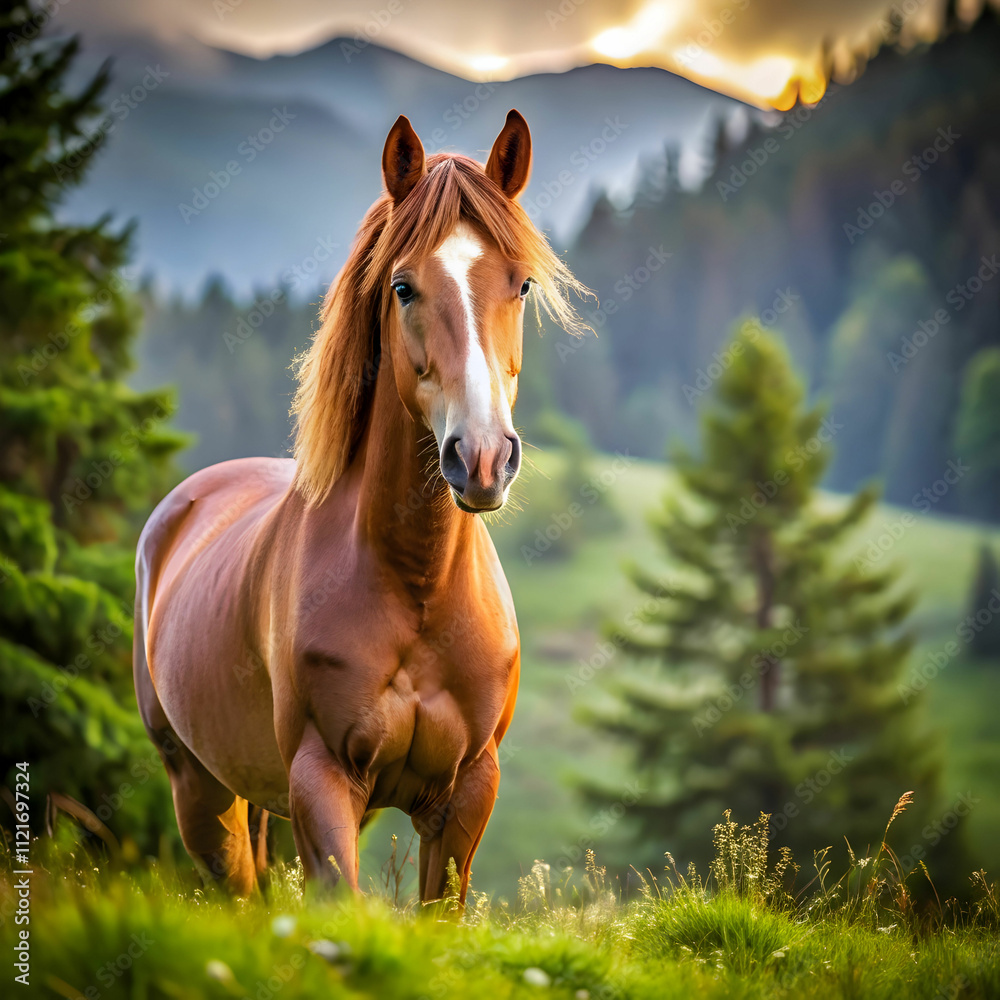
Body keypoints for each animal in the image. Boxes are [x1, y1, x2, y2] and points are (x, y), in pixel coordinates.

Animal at [133, 110, 586, 903]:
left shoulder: (467, 794)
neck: (417, 585)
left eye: (523, 285)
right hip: (203, 794)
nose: (483, 457)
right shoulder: (323, 781)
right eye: (403, 287)